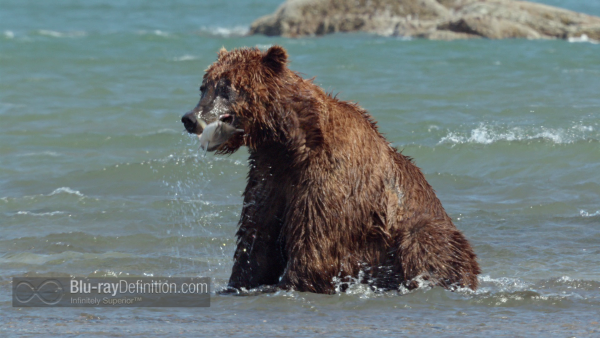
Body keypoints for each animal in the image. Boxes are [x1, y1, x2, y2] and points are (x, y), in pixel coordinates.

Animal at [180, 45, 480, 294]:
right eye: (203, 86)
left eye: (226, 87)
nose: (190, 118)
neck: (290, 143)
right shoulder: (270, 175)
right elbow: (256, 237)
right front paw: (237, 283)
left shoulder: (328, 178)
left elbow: (315, 241)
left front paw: (289, 283)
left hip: (423, 229)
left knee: (427, 244)